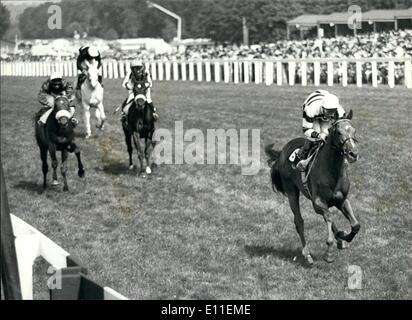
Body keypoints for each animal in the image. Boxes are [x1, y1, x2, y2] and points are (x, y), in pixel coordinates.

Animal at [266, 110, 358, 264]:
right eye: (339, 132)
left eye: (354, 131)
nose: (353, 154)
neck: (332, 171)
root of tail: (282, 151)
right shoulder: (318, 202)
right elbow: (328, 216)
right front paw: (329, 252)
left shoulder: (342, 200)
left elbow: (355, 225)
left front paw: (344, 237)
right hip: (292, 192)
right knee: (299, 221)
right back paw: (307, 254)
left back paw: (340, 238)